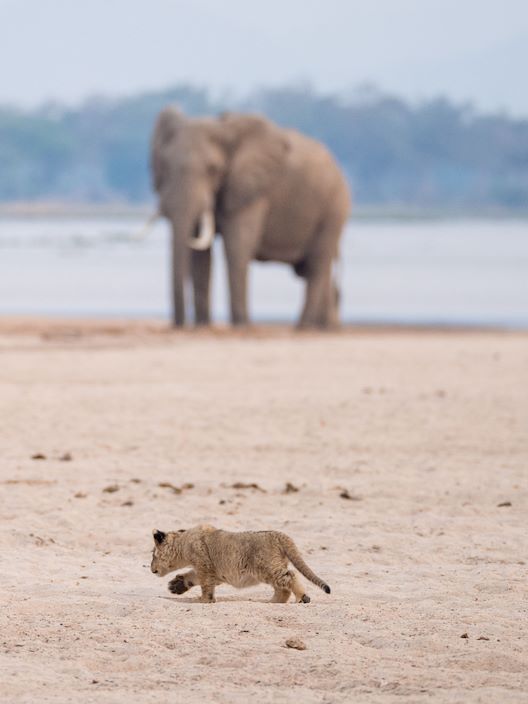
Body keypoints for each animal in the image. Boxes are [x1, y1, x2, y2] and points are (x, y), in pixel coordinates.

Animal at [152, 107, 350, 330]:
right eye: (164, 166)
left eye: (213, 169)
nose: (179, 324)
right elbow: (200, 253)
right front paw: (203, 326)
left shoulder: (253, 188)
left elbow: (237, 246)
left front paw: (241, 324)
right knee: (312, 269)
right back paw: (325, 327)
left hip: (334, 208)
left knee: (317, 265)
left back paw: (304, 327)